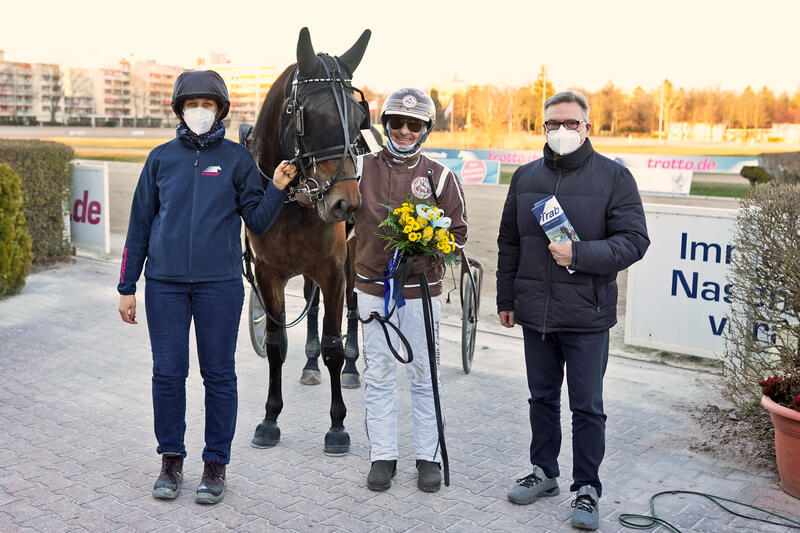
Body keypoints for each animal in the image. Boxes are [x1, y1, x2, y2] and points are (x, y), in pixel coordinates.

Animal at [245, 28, 370, 454]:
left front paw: (338, 425)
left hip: (352, 263)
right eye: (308, 116)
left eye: (358, 118)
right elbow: (275, 343)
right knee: (312, 309)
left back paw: (351, 367)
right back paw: (310, 363)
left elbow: (334, 342)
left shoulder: (333, 271)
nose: (346, 203)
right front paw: (269, 418)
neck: (292, 202)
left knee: (351, 310)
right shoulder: (268, 274)